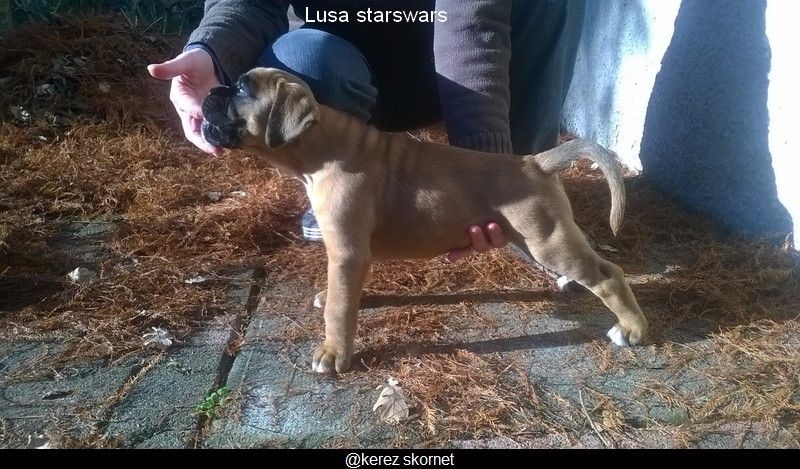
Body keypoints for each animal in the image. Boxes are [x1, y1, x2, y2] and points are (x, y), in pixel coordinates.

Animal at [201, 67, 649, 374]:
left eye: (241, 91)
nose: (209, 92)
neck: (321, 148)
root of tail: (535, 162)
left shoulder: (347, 253)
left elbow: (341, 309)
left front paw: (333, 353)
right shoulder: (349, 257)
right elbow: (343, 296)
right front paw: (331, 304)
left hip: (547, 239)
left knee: (609, 275)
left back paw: (632, 329)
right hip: (536, 239)